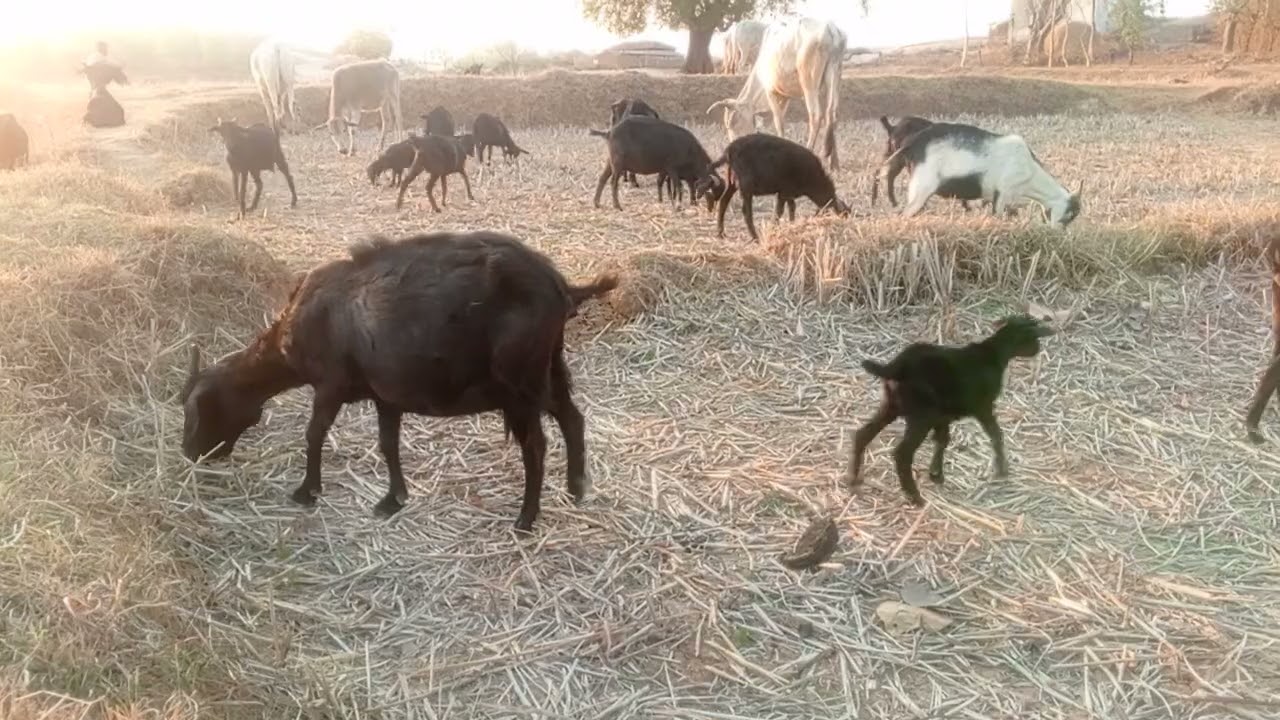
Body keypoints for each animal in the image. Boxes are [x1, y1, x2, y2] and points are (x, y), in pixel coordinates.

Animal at [179, 231, 618, 532]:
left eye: (198, 408)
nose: (190, 453)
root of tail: (562, 286)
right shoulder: (385, 394)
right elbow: (387, 444)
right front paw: (393, 499)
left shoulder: (330, 384)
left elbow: (314, 434)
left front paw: (308, 491)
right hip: (549, 368)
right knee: (572, 417)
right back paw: (576, 489)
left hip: (520, 382)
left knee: (536, 446)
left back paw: (526, 519)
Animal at [697, 132, 848, 241]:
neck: (813, 177)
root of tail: (729, 151)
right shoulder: (784, 192)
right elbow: (779, 211)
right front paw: (775, 228)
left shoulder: (788, 193)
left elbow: (792, 208)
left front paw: (791, 225)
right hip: (746, 186)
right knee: (746, 211)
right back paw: (755, 236)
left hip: (732, 183)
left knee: (723, 202)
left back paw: (720, 233)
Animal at [846, 314, 1056, 506]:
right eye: (1034, 336)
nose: (1038, 349)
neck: (993, 353)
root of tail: (896, 366)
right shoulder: (983, 406)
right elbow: (995, 434)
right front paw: (1002, 470)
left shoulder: (943, 415)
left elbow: (943, 440)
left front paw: (936, 474)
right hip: (922, 415)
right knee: (902, 453)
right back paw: (916, 498)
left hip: (892, 405)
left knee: (863, 434)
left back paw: (854, 482)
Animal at [878, 121, 1083, 227]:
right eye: (1070, 213)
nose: (1059, 232)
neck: (1031, 171)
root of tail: (913, 143)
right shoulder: (1003, 193)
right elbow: (997, 217)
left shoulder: (995, 198)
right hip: (921, 188)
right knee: (905, 213)